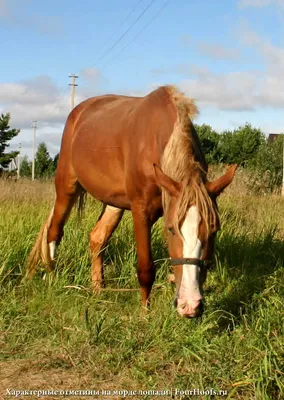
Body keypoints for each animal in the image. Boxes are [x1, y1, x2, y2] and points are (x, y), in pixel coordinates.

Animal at [25, 86, 237, 318]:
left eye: (214, 230)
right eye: (171, 229)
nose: (190, 305)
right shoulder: (141, 211)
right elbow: (145, 268)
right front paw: (145, 314)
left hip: (114, 203)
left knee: (97, 237)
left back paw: (98, 289)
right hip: (66, 187)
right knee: (54, 232)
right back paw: (51, 277)